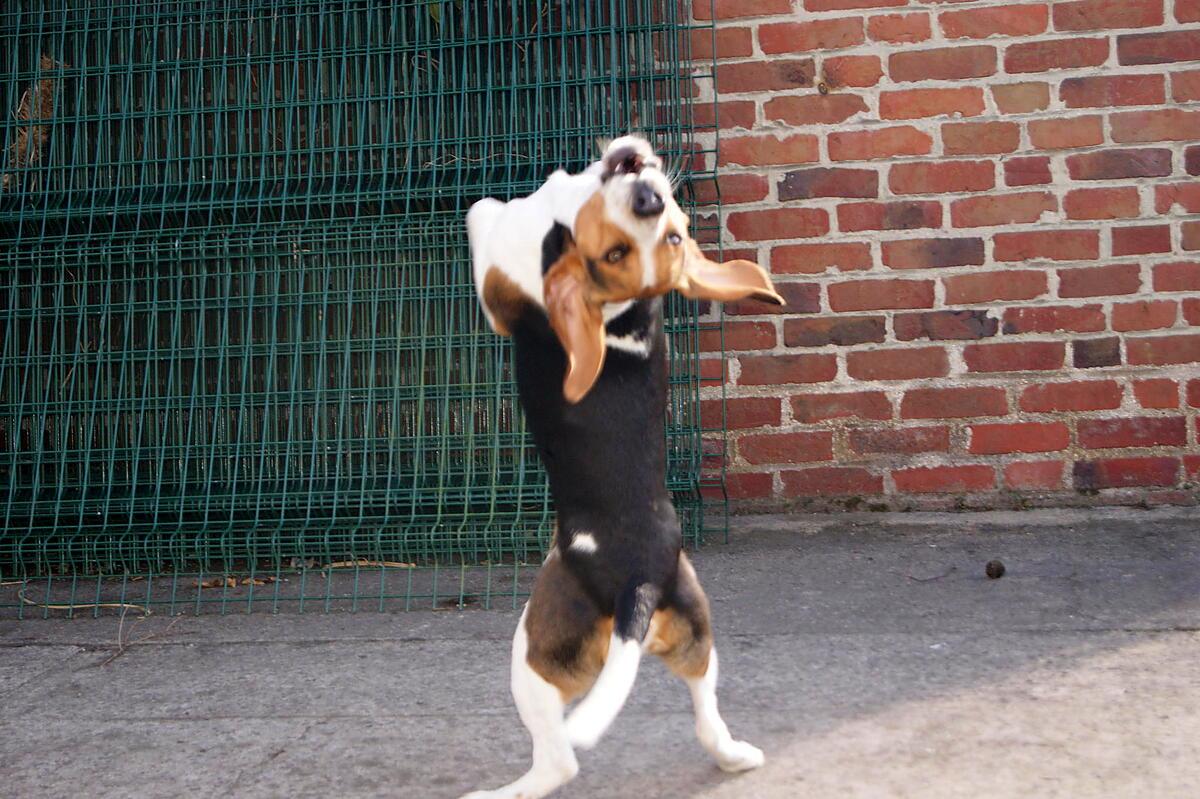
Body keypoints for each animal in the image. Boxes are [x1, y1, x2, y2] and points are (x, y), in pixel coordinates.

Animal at [458, 133, 777, 791]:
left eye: (612, 251)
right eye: (673, 239)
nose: (650, 197)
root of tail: (640, 581)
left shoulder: (495, 274)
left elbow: (483, 208)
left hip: (532, 653)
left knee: (559, 759)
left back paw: (501, 793)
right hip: (697, 631)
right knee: (706, 712)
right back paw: (736, 757)